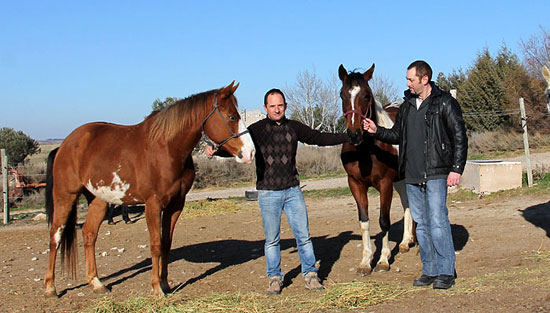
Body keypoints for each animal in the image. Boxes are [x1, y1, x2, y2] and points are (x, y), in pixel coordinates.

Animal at [44, 81, 256, 296]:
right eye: (232, 116)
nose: (250, 153)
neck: (167, 148)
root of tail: (65, 144)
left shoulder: (175, 205)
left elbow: (166, 244)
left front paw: (165, 283)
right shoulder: (153, 204)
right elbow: (155, 245)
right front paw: (156, 288)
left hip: (98, 200)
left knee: (89, 234)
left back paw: (96, 283)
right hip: (65, 196)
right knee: (55, 236)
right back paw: (50, 287)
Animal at [338, 64, 416, 274]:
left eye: (366, 95)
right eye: (342, 95)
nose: (354, 134)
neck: (366, 150)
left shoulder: (385, 184)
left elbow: (383, 221)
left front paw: (383, 260)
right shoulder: (355, 184)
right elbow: (364, 222)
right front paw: (366, 262)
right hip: (401, 180)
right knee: (407, 203)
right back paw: (405, 242)